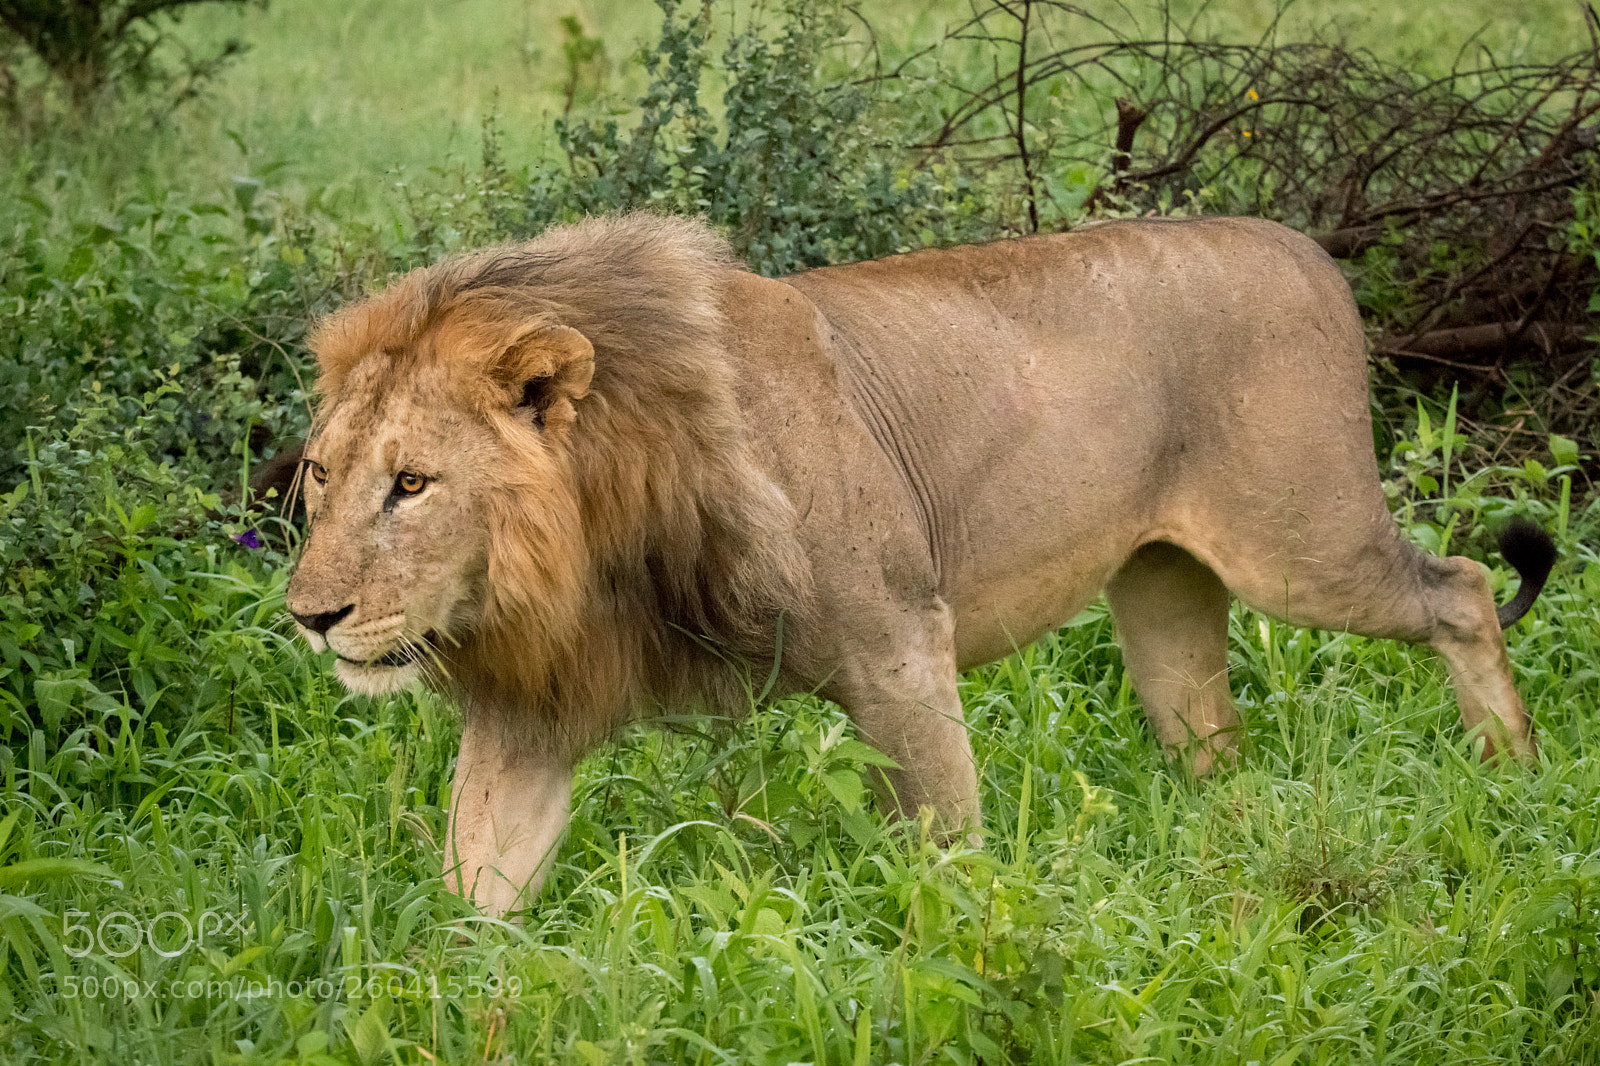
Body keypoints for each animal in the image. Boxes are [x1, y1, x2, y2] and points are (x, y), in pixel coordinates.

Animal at [285, 212, 1556, 917]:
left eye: (412, 485)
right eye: (320, 476)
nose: (309, 615)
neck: (597, 536)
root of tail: (1304, 245)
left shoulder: (899, 641)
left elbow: (946, 848)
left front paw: (965, 946)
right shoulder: (533, 716)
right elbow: (474, 888)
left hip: (1298, 540)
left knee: (1463, 586)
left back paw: (1513, 771)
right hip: (1163, 586)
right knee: (1208, 728)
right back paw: (1227, 835)